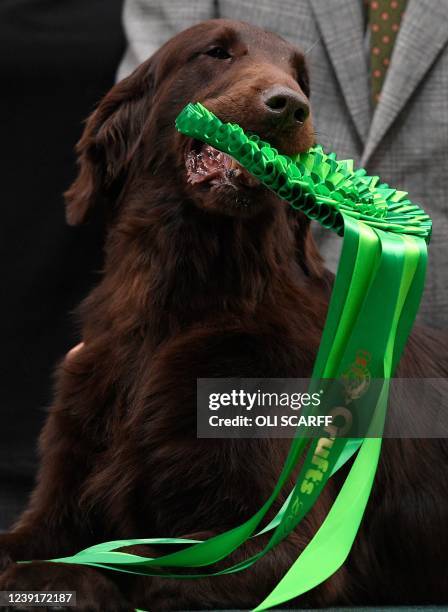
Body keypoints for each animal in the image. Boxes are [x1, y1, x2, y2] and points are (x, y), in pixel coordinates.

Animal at [0, 19, 448, 612]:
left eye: (301, 77)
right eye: (215, 52)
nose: (290, 106)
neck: (180, 304)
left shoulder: (288, 544)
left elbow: (131, 568)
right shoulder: (59, 498)